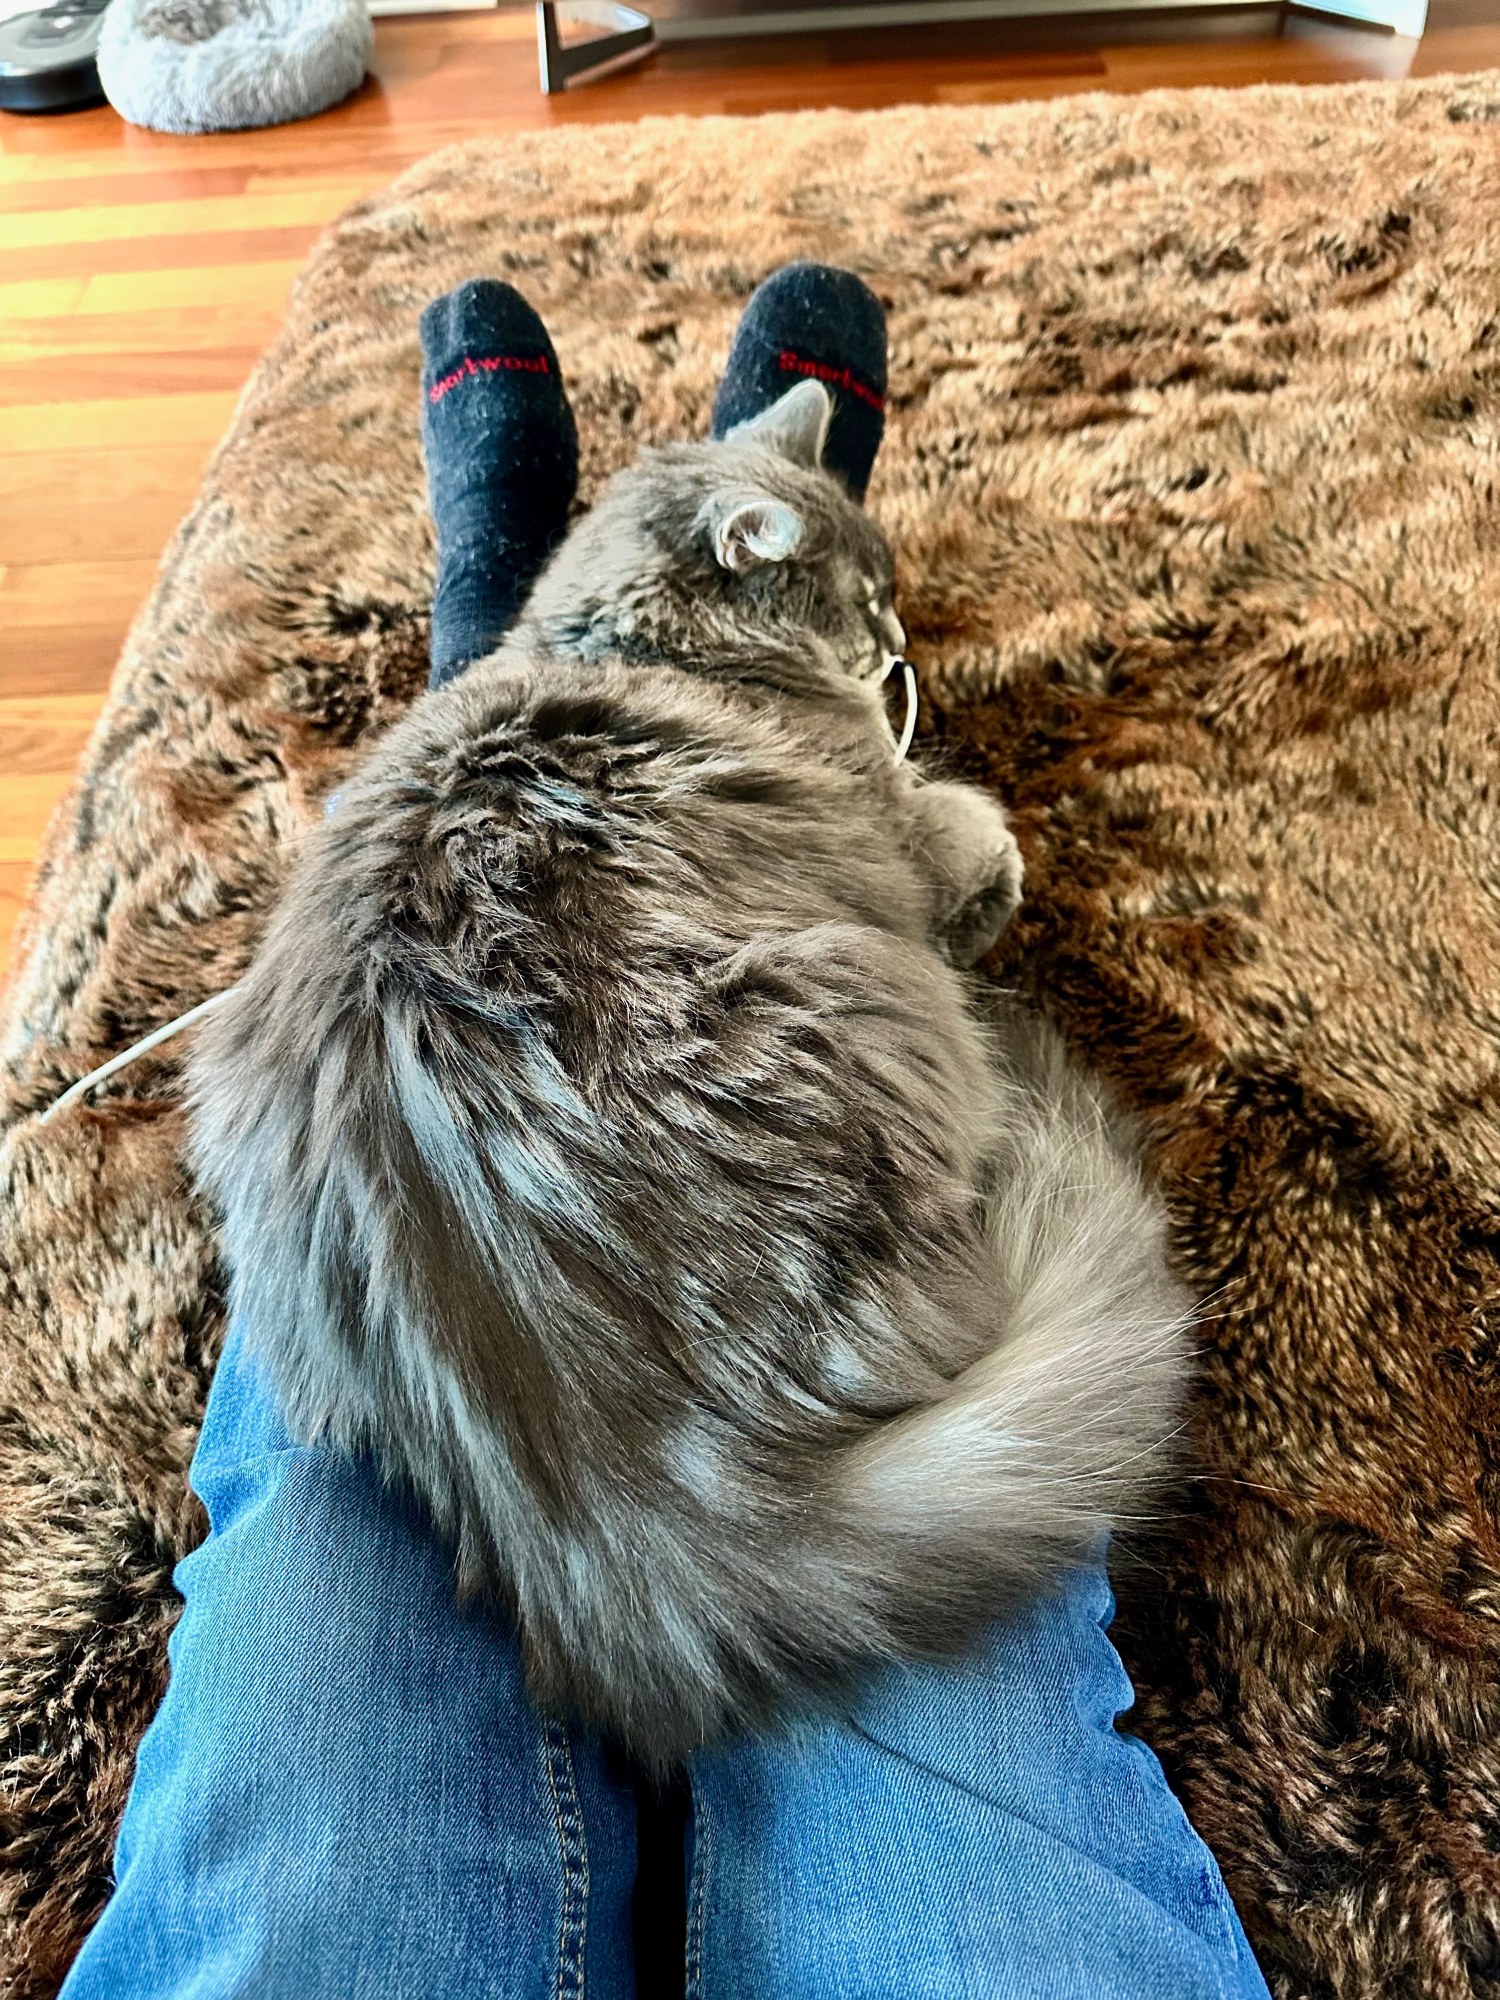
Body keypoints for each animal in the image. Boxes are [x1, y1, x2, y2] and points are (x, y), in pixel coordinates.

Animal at [188, 378, 1187, 1765]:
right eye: (862, 596)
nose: (895, 642)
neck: (630, 647)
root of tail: (622, 1497)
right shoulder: (905, 821)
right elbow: (976, 832)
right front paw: (993, 853)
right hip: (863, 1003)